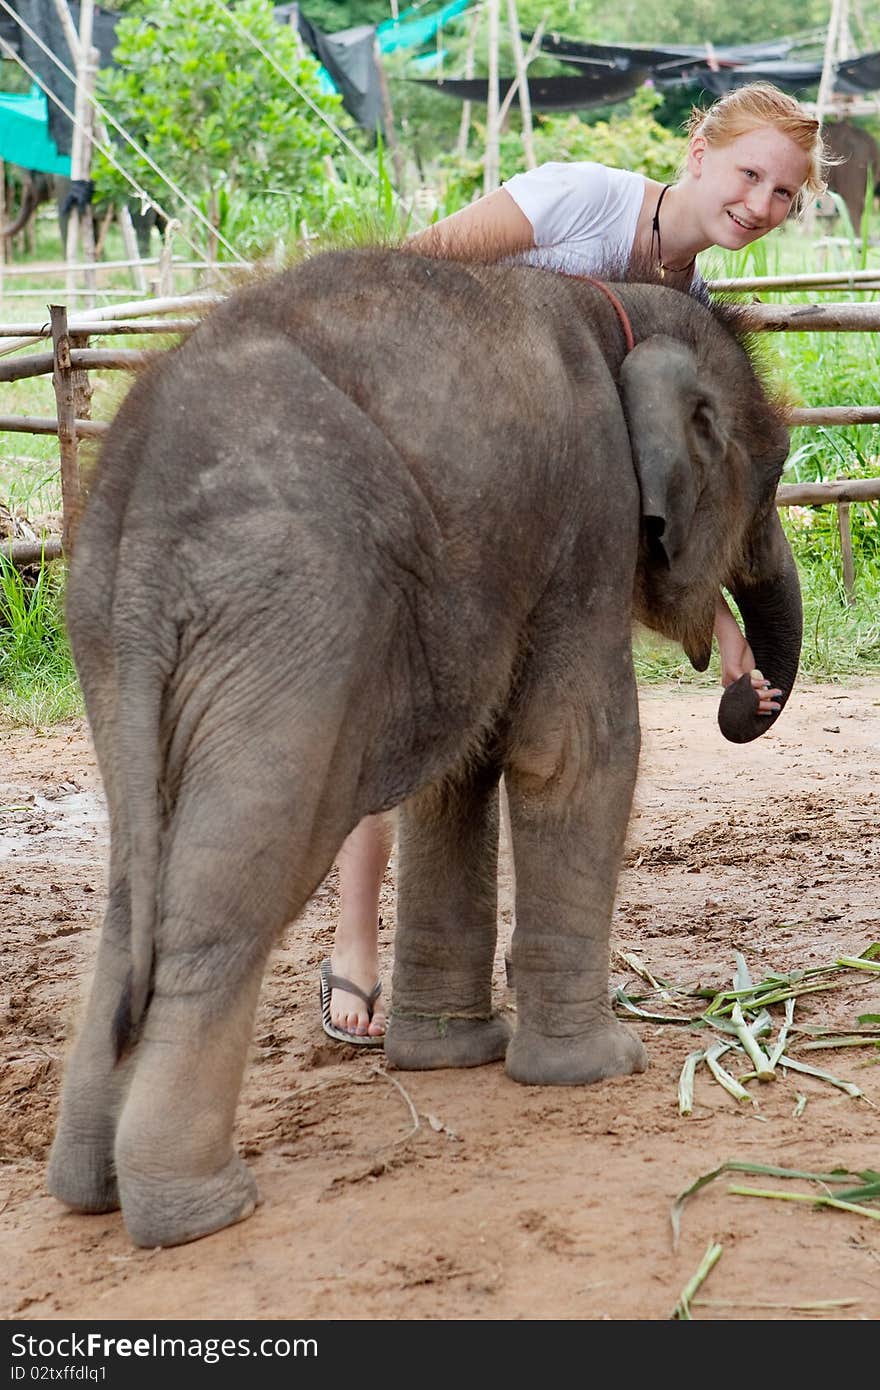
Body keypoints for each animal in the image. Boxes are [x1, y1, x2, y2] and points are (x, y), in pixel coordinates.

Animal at [49, 244, 800, 1245]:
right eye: (774, 475)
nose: (745, 692)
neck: (613, 302)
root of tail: (136, 501)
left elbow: (460, 771)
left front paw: (450, 1056)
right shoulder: (588, 509)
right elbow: (571, 752)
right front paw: (601, 1067)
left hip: (111, 641)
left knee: (137, 892)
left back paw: (87, 1191)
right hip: (291, 615)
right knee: (230, 886)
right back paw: (202, 1211)